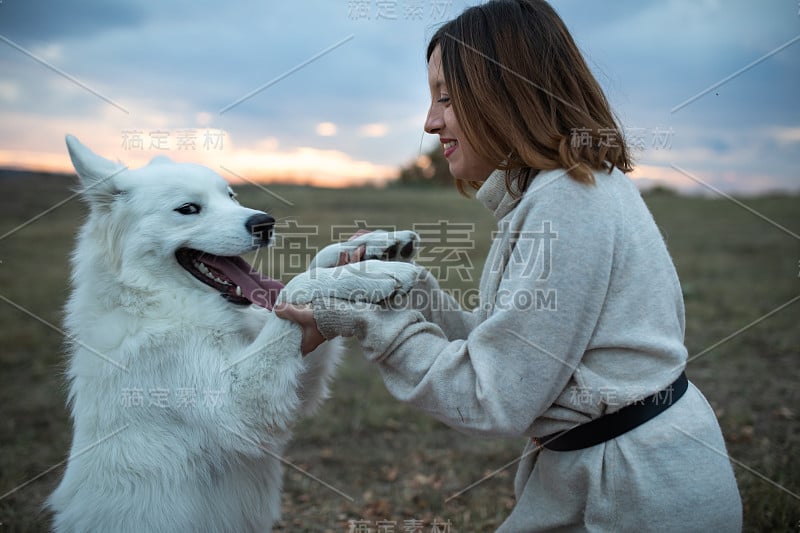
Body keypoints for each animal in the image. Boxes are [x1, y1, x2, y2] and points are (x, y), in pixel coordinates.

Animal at [47, 136, 418, 532]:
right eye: (188, 209)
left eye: (230, 196)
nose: (265, 223)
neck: (154, 299)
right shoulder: (237, 408)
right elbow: (297, 285)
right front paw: (371, 273)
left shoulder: (292, 382)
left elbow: (309, 273)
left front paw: (373, 248)